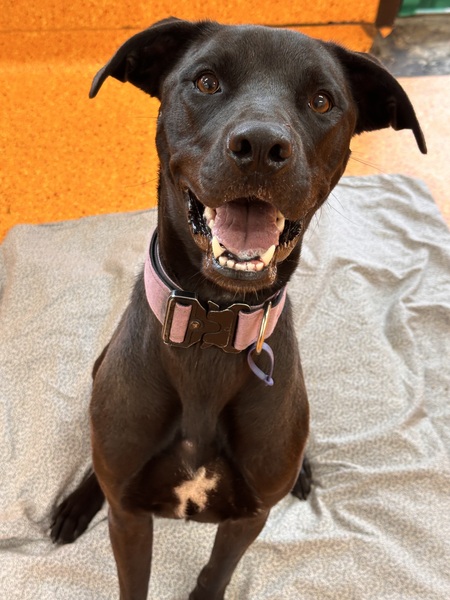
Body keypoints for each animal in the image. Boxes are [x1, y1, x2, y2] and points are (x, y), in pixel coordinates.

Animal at [50, 17, 426, 600]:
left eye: (322, 100)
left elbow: (216, 573)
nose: (262, 145)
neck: (212, 323)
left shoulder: (249, 517)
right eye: (206, 82)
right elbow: (133, 572)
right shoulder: (129, 518)